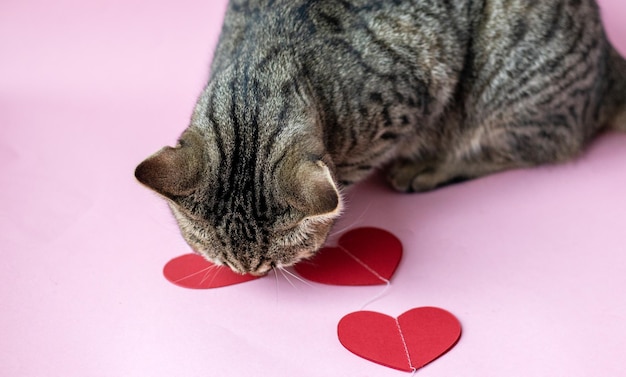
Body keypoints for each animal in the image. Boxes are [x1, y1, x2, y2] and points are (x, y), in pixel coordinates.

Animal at [136, 0, 624, 276]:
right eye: (222, 263)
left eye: (273, 264)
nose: (248, 274)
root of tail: (607, 59)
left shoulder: (415, 93)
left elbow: (345, 174)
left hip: (512, 93)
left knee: (530, 147)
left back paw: (427, 168)